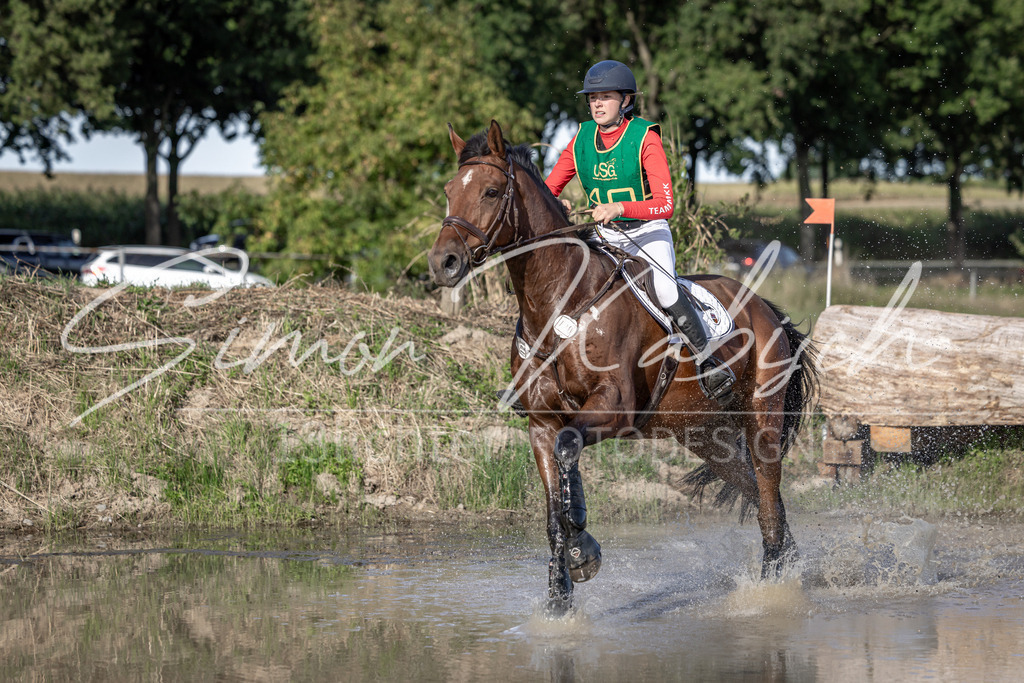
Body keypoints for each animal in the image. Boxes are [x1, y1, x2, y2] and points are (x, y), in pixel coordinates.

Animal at [427, 120, 819, 616]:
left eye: (492, 191)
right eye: (447, 191)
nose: (443, 263)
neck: (560, 302)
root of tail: (765, 307)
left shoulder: (614, 408)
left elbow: (570, 447)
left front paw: (582, 545)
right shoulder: (541, 424)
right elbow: (554, 498)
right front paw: (561, 596)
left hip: (761, 420)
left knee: (768, 496)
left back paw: (772, 589)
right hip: (702, 434)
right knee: (755, 490)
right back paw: (787, 567)